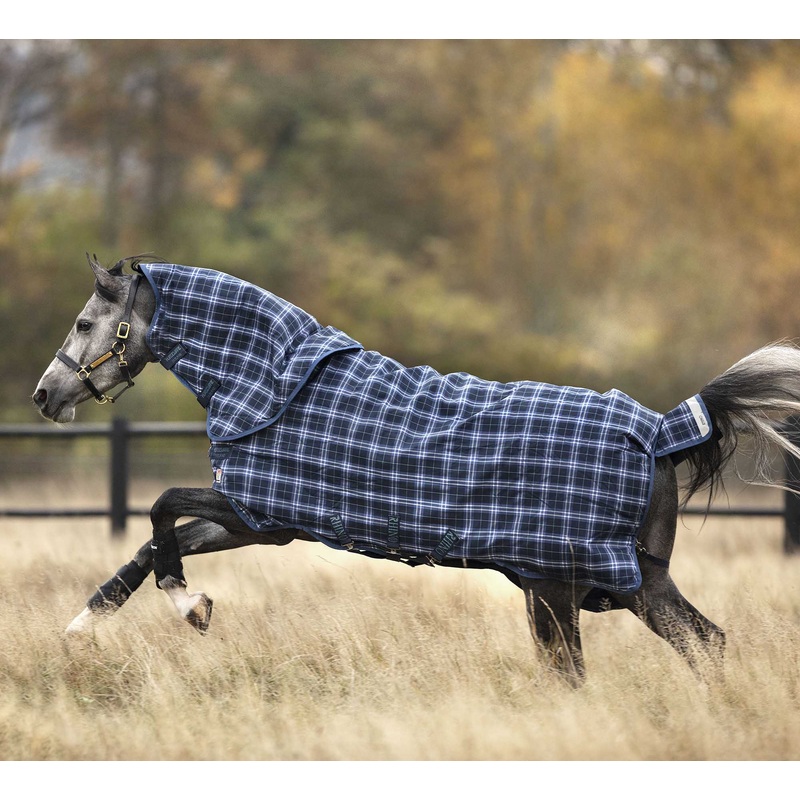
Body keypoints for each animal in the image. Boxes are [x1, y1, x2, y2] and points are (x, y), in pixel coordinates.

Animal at [32, 254, 800, 686]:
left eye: (83, 324)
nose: (45, 395)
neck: (274, 383)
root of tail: (665, 429)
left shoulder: (261, 514)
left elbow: (161, 507)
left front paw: (189, 607)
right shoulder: (262, 522)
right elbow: (151, 543)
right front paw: (84, 625)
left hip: (561, 588)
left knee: (592, 670)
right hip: (619, 584)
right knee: (704, 644)